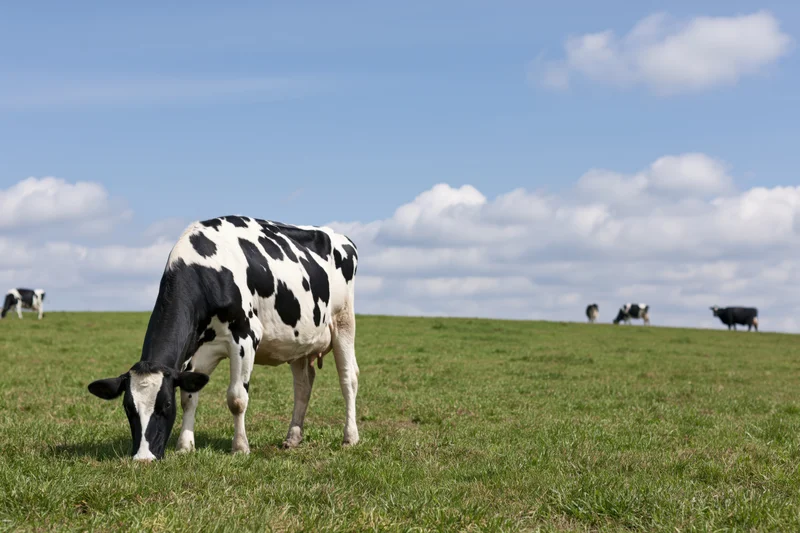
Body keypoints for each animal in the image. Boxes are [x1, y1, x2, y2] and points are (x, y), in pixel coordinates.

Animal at [87, 216, 360, 462]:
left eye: (165, 405)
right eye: (128, 407)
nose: (143, 458)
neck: (207, 271)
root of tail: (341, 237)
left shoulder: (245, 337)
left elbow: (237, 398)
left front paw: (240, 448)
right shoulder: (197, 352)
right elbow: (189, 397)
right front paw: (185, 446)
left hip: (344, 322)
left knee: (348, 379)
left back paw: (350, 437)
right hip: (299, 341)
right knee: (303, 385)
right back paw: (292, 438)